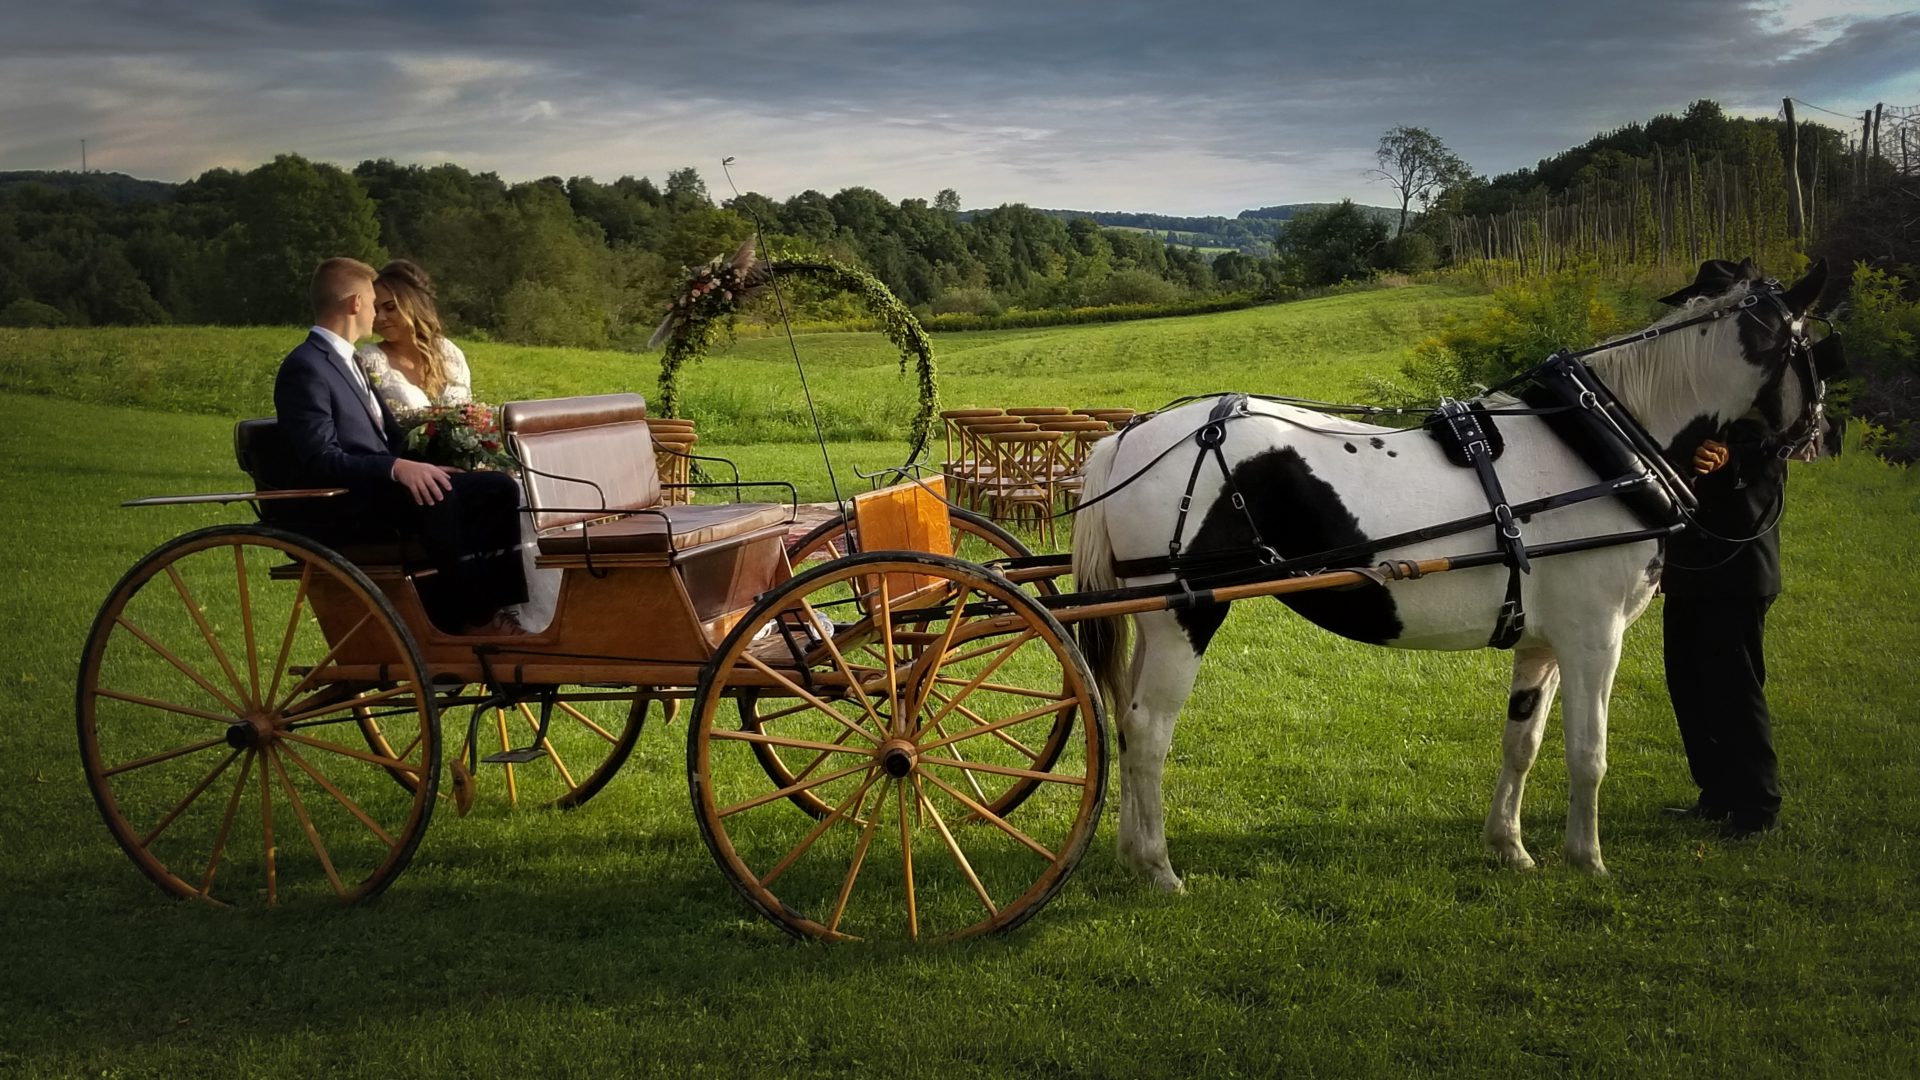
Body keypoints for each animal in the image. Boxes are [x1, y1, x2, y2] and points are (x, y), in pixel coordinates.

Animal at [1075, 261, 1835, 883]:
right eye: (1817, 350)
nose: (1820, 436)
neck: (1602, 447)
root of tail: (1127, 437)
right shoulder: (1596, 639)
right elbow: (1588, 753)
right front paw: (1588, 861)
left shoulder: (1543, 645)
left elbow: (1523, 742)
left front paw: (1511, 848)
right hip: (1187, 616)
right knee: (1148, 731)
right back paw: (1159, 867)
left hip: (1153, 620)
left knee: (1125, 722)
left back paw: (1130, 854)